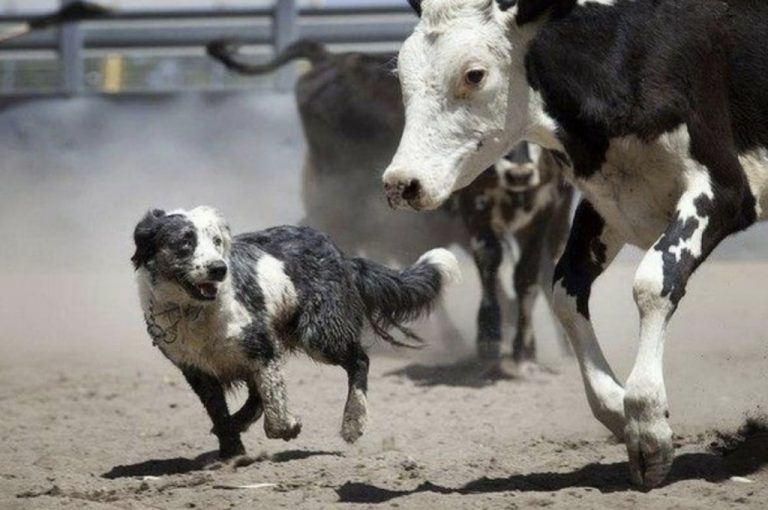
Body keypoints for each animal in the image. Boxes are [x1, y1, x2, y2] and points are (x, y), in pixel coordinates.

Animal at [130, 207, 462, 458]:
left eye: (217, 241)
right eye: (185, 242)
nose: (218, 269)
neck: (196, 311)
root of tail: (339, 253)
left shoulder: (262, 349)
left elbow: (275, 410)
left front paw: (289, 427)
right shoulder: (197, 370)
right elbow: (220, 413)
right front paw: (232, 451)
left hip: (318, 333)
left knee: (360, 360)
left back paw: (353, 421)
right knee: (254, 397)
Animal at [384, 0, 768, 486]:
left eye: (474, 74)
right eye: (400, 70)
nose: (401, 183)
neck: (624, 48)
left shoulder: (723, 190)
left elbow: (653, 281)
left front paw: (648, 424)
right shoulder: (606, 204)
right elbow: (565, 291)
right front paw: (619, 412)